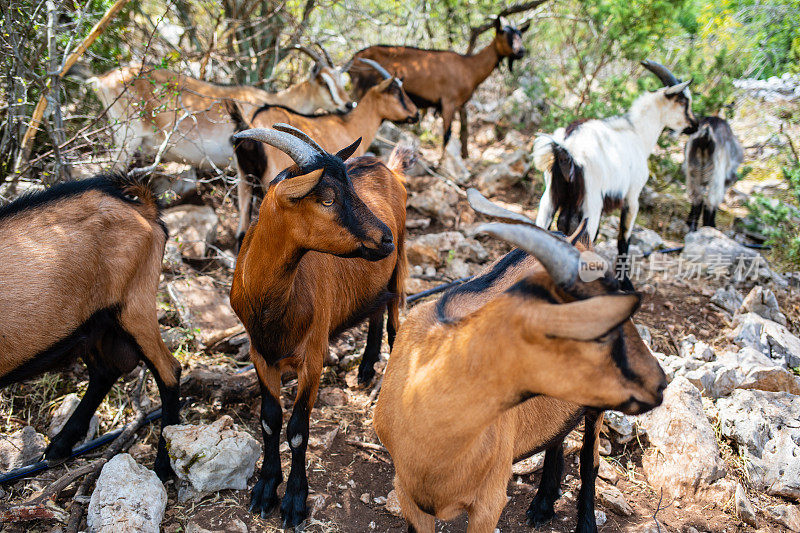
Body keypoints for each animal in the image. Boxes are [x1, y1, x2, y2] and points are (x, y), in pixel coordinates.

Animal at [228, 124, 410, 528]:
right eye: (326, 199)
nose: (384, 237)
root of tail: (387, 167)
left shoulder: (312, 357)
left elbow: (298, 430)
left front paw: (294, 501)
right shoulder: (260, 354)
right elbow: (269, 420)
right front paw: (265, 488)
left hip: (400, 263)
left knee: (394, 317)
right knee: (375, 308)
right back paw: (365, 368)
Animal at [352, 15, 528, 158]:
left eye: (520, 34)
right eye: (504, 33)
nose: (521, 51)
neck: (468, 67)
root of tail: (355, 57)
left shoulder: (458, 105)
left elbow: (462, 132)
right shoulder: (448, 102)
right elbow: (447, 135)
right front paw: (441, 163)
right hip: (360, 90)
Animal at [374, 188, 664, 532]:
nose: (659, 382)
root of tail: (578, 237)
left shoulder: (489, 501)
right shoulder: (408, 495)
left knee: (588, 461)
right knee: (558, 436)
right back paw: (542, 505)